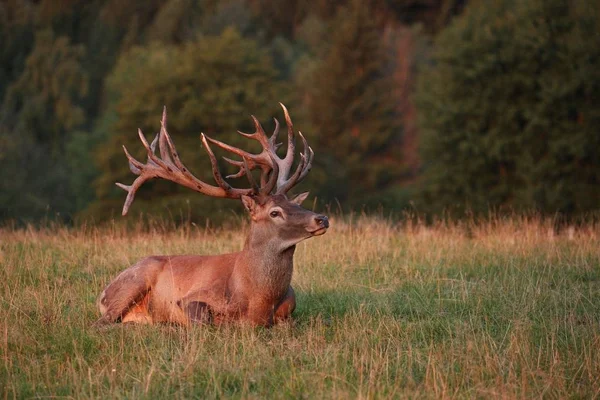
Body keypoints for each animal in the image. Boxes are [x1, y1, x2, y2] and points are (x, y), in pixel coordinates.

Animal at [95, 104, 328, 326]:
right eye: (275, 212)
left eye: (294, 203)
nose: (321, 218)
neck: (259, 299)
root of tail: (102, 294)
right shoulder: (191, 298)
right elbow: (204, 321)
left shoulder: (290, 309)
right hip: (133, 282)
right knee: (101, 323)